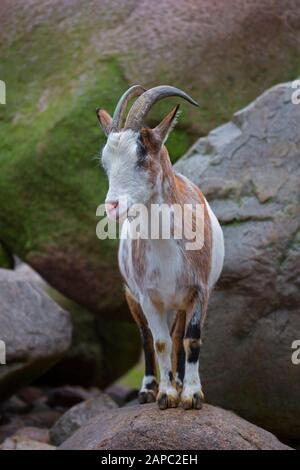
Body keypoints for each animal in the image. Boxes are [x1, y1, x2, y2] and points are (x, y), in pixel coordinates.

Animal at [95, 86, 223, 410]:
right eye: (105, 162)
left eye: (142, 156)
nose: (112, 206)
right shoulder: (147, 296)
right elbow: (159, 341)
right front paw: (166, 396)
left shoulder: (199, 291)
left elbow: (191, 339)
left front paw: (191, 395)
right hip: (133, 296)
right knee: (146, 337)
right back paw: (148, 389)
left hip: (179, 302)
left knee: (179, 336)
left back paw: (179, 382)